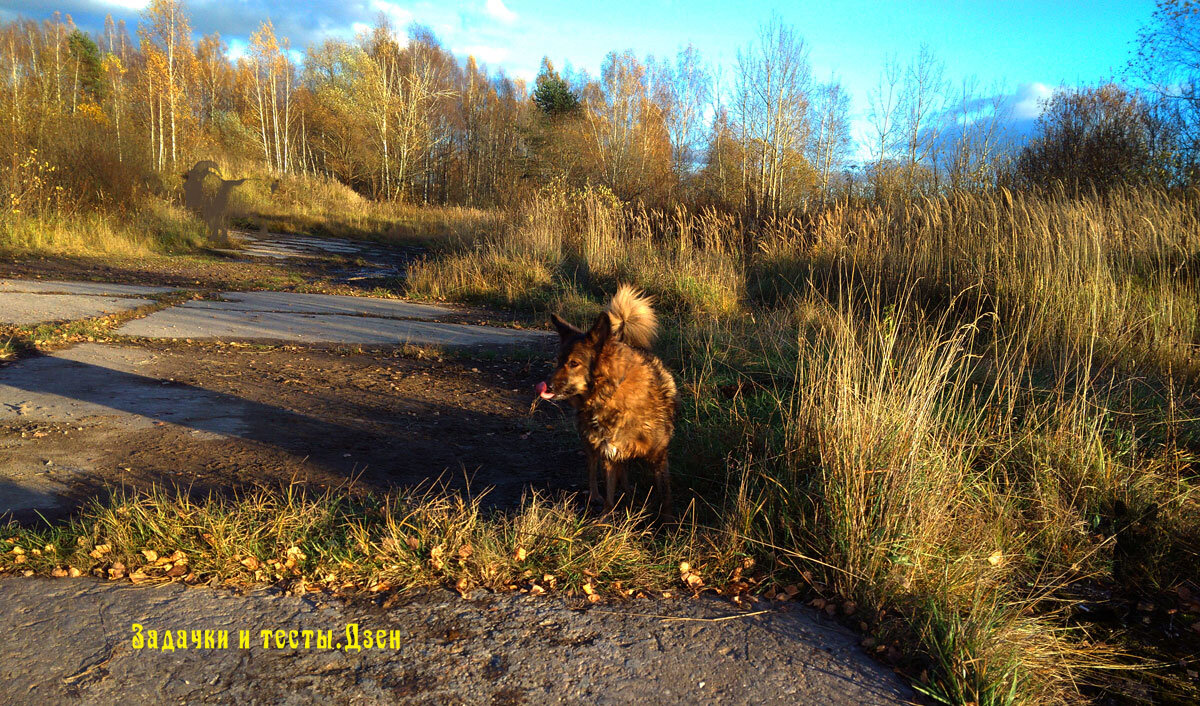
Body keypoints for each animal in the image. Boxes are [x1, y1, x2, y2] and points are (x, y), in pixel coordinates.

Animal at [540, 284, 681, 521]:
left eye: (574, 363)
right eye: (558, 361)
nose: (545, 387)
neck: (610, 394)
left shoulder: (658, 456)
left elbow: (666, 495)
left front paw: (669, 522)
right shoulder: (608, 454)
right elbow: (608, 494)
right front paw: (604, 519)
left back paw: (628, 491)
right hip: (590, 441)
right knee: (591, 467)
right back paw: (595, 496)